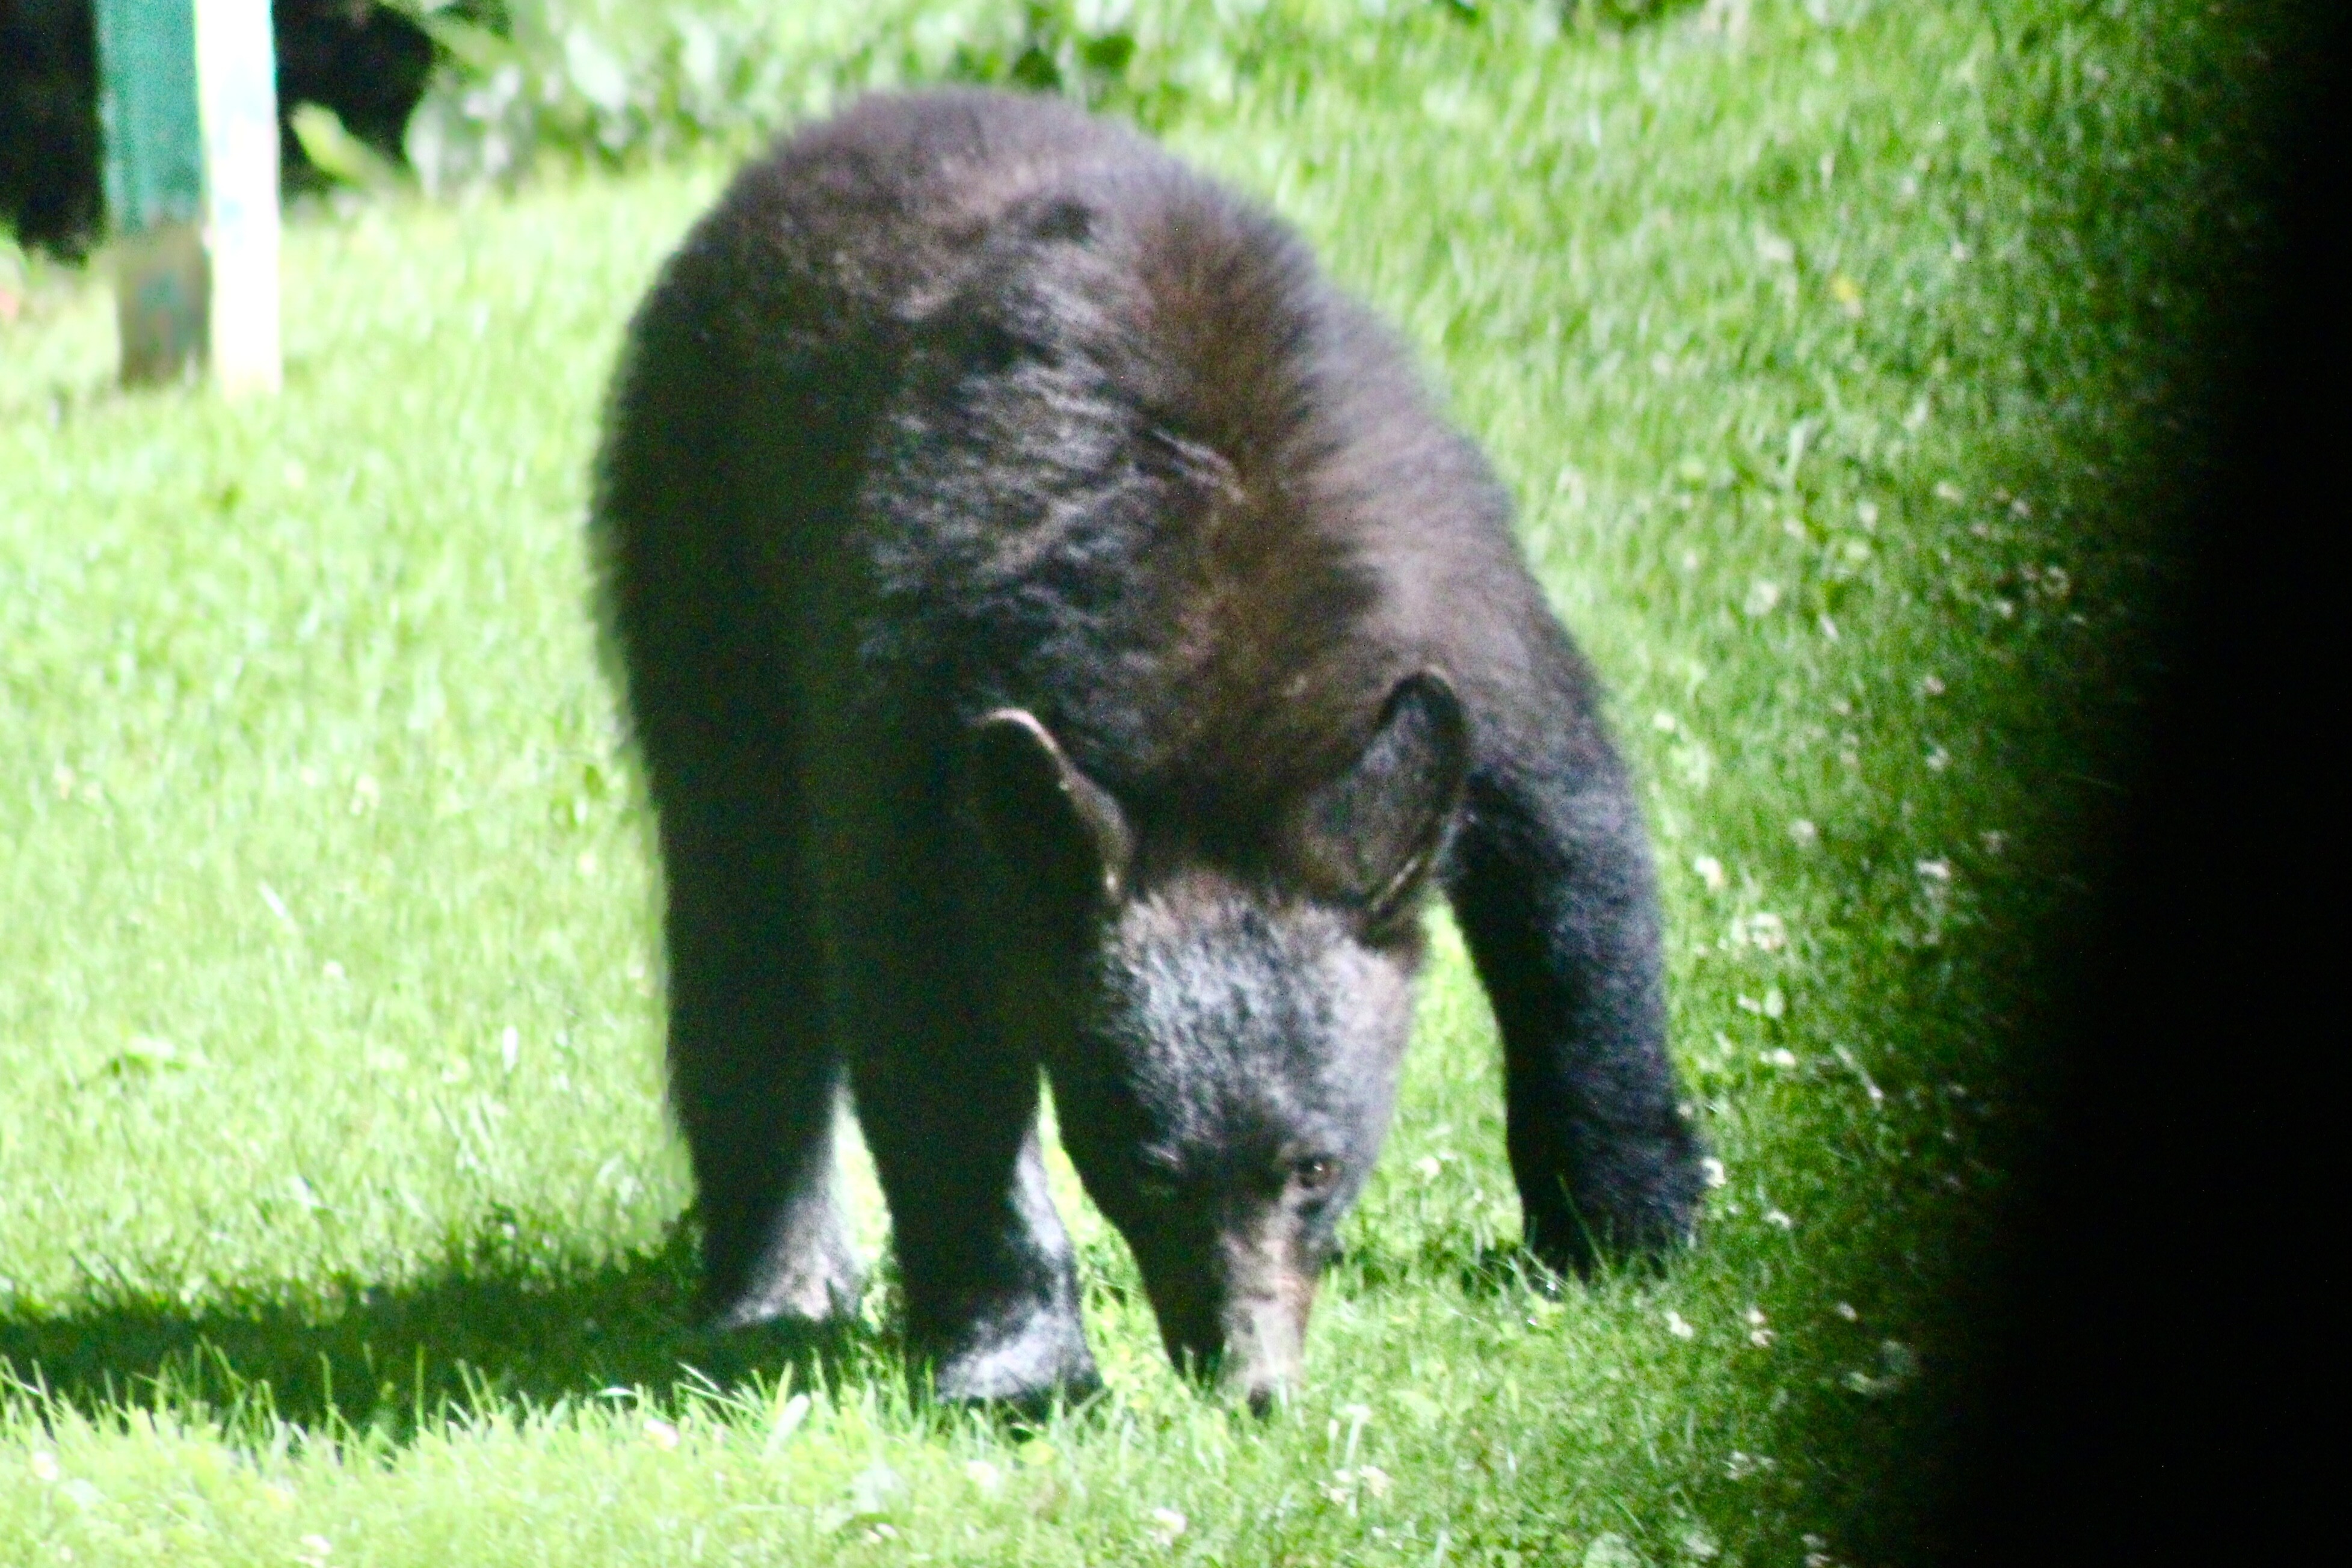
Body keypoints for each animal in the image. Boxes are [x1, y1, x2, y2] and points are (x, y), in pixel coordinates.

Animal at [591, 87, 1707, 1412]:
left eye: (1315, 1166)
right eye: (1146, 1167)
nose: (1247, 1381)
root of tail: (831, 129)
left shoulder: (1461, 628)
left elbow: (1573, 880)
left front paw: (1625, 1225)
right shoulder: (918, 702)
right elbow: (925, 1001)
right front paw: (1016, 1358)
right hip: (703, 551)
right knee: (742, 911)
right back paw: (776, 1282)